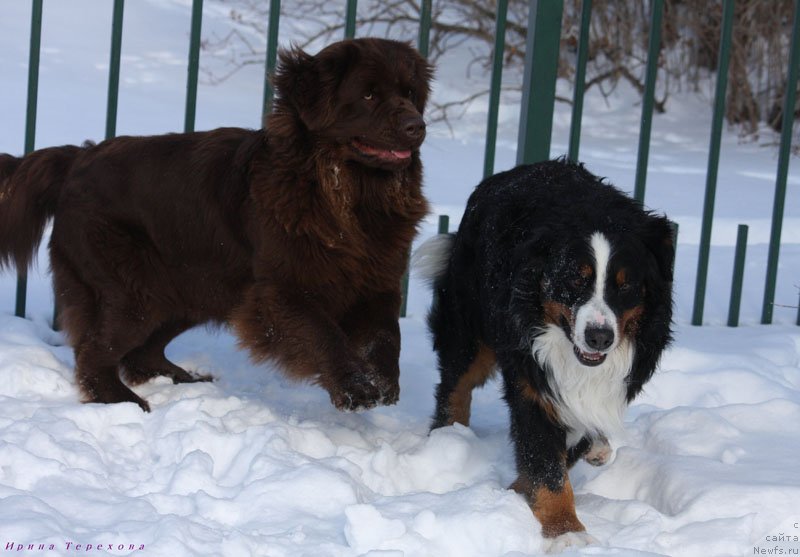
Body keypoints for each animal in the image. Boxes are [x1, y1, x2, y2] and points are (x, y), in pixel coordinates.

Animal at [0, 39, 432, 410]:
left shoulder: (377, 279)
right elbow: (324, 332)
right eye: (369, 95)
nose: (417, 126)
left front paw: (383, 382)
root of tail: (76, 158)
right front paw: (355, 387)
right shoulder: (281, 289)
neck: (345, 195)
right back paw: (123, 402)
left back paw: (183, 380)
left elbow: (386, 335)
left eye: (410, 93)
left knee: (140, 352)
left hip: (190, 287)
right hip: (132, 287)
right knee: (94, 351)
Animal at [416, 159, 672, 548]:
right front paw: (566, 532)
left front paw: (525, 492)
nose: (599, 337)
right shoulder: (532, 379)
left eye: (625, 284)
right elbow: (546, 463)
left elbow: (570, 442)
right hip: (468, 325)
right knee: (455, 386)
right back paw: (448, 441)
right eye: (575, 279)